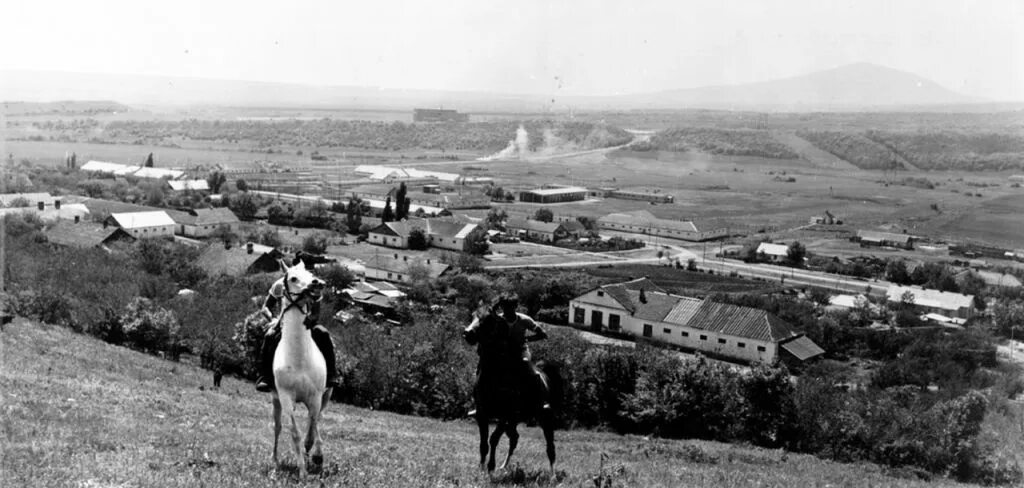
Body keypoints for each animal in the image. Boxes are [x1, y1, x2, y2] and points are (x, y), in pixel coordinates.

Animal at [272, 260, 331, 472]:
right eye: (293, 278)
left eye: (310, 274)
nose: (317, 283)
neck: (299, 360)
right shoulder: (286, 398)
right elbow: (295, 433)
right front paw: (302, 470)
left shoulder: (315, 397)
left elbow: (313, 426)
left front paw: (317, 456)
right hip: (276, 400)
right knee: (277, 427)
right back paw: (275, 460)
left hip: (325, 397)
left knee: (316, 420)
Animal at [468, 311, 565, 472]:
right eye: (473, 316)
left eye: (487, 320)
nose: (467, 333)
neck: (495, 377)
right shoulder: (482, 415)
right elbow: (483, 444)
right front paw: (482, 468)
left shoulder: (505, 415)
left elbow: (493, 439)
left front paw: (490, 467)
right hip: (514, 422)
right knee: (514, 439)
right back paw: (503, 466)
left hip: (545, 418)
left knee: (550, 447)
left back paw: (552, 474)